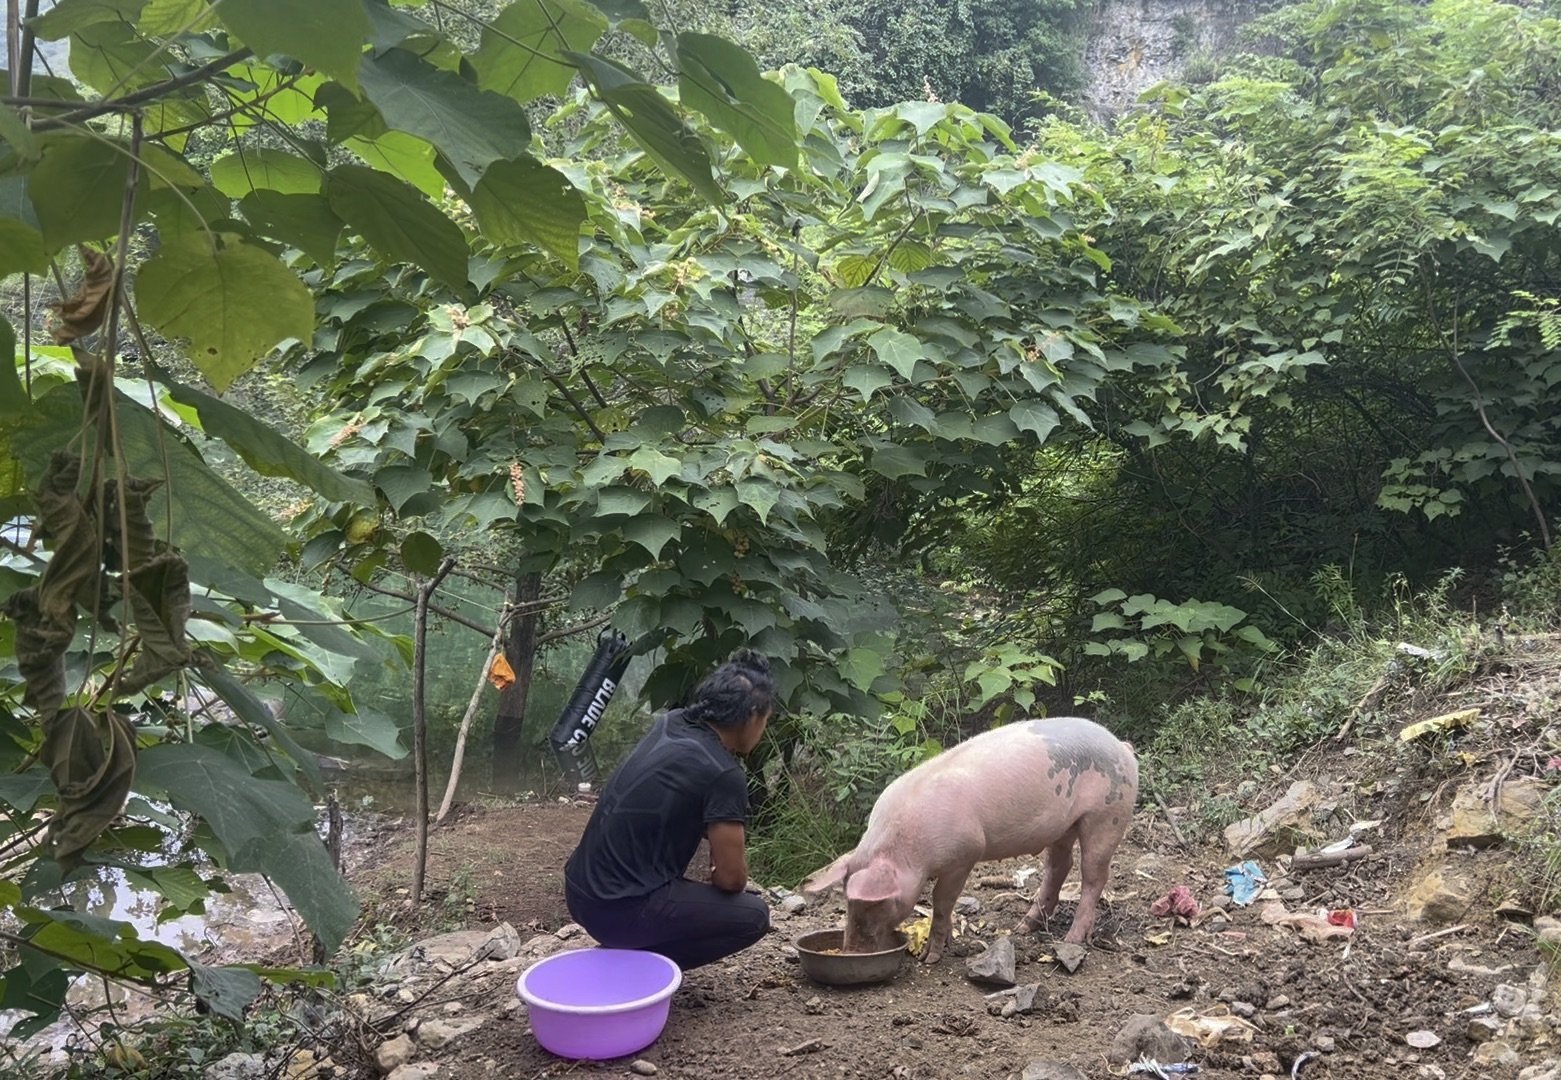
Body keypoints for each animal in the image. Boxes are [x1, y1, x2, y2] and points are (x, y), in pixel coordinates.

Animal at [805, 717, 1136, 961]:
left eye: (874, 906)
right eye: (847, 903)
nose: (850, 952)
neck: (908, 850)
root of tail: (1122, 745)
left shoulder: (965, 854)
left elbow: (941, 900)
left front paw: (931, 957)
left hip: (1108, 814)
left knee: (1094, 875)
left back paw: (1073, 939)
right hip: (1064, 826)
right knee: (1059, 866)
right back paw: (1022, 929)